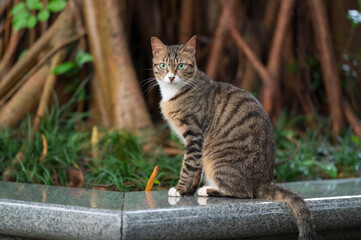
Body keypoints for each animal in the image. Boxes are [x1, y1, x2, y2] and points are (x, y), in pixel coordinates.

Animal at [150, 35, 316, 240]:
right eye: (163, 65)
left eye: (181, 65)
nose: (172, 77)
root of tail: (263, 182)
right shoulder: (196, 142)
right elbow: (196, 168)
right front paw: (188, 191)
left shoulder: (195, 134)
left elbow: (188, 166)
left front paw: (179, 189)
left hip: (218, 160)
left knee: (246, 193)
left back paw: (208, 190)